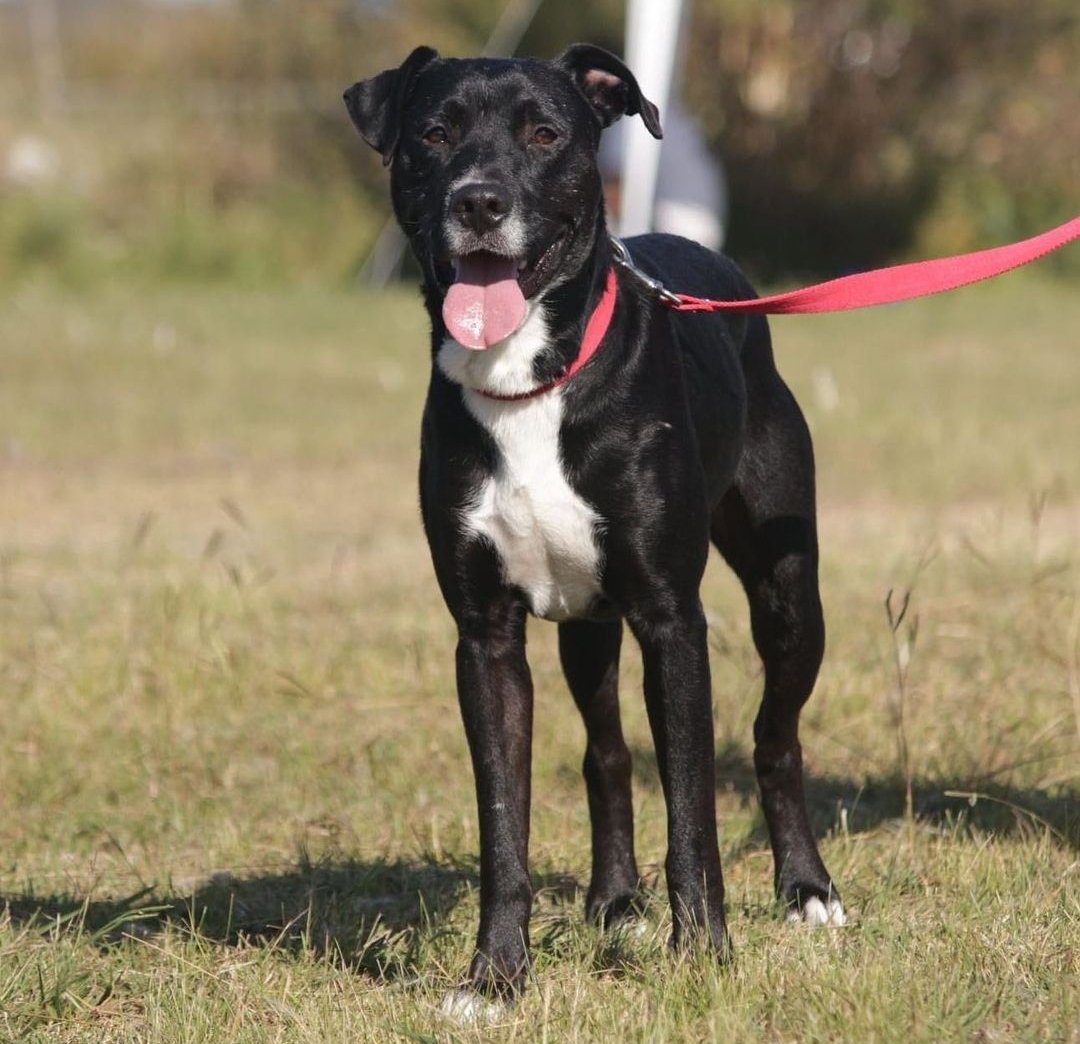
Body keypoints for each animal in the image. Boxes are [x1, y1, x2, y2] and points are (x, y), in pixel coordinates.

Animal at [345, 42, 842, 1006]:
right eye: (434, 133)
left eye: (544, 134)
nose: (480, 202)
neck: (528, 378)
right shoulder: (485, 635)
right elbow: (505, 819)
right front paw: (496, 976)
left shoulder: (670, 619)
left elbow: (692, 808)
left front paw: (705, 958)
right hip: (586, 622)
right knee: (606, 756)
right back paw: (615, 903)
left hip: (787, 591)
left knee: (775, 735)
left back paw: (806, 889)